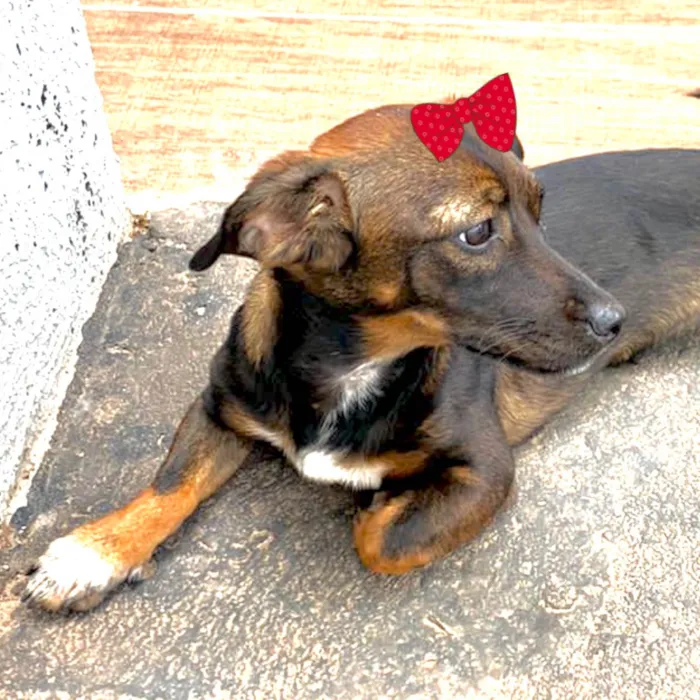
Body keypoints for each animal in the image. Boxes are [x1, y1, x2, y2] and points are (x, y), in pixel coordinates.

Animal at [21, 101, 700, 608]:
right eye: (477, 231)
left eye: (540, 212)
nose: (615, 320)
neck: (349, 367)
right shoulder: (220, 406)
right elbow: (168, 484)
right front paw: (93, 554)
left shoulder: (486, 470)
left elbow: (380, 541)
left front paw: (377, 497)